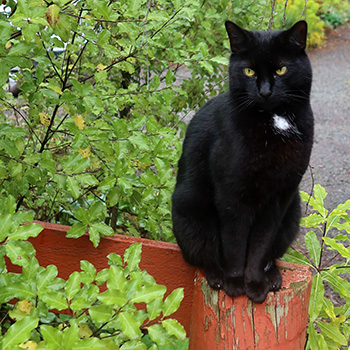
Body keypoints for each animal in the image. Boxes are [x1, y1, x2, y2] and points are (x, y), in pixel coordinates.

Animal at [171, 20, 314, 302]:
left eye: (281, 69)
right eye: (248, 71)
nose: (265, 91)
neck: (273, 121)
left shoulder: (280, 198)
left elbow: (260, 245)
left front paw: (256, 283)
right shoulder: (232, 194)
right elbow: (235, 243)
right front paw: (236, 283)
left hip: (293, 211)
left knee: (272, 254)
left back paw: (273, 277)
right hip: (190, 213)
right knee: (204, 256)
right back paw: (218, 277)